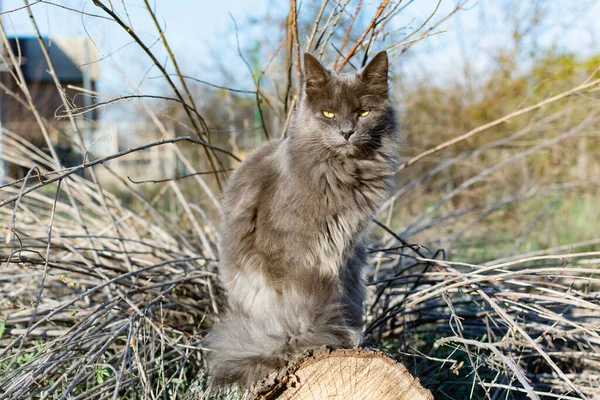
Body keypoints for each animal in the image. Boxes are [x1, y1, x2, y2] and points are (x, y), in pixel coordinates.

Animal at [205, 50, 398, 388]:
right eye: (328, 114)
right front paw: (327, 337)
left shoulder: (343, 252)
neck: (341, 172)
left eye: (363, 112)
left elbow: (336, 295)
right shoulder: (292, 255)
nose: (346, 131)